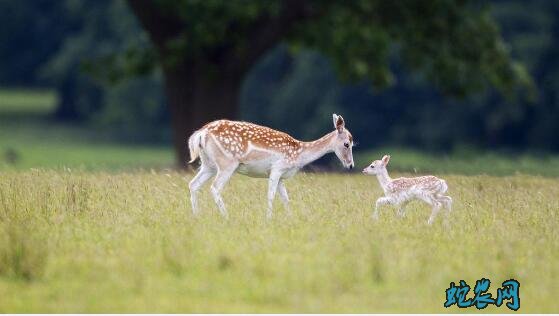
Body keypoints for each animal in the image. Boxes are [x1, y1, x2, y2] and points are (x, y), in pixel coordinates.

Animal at [188, 114, 354, 220]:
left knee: (193, 184)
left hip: (208, 164)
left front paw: (291, 219)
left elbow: (286, 198)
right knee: (214, 188)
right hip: (227, 163)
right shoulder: (276, 169)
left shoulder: (281, 177)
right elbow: (271, 195)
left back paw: (196, 217)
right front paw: (268, 219)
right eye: (347, 144)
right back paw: (226, 217)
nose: (351, 165)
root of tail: (200, 134)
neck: (299, 154)